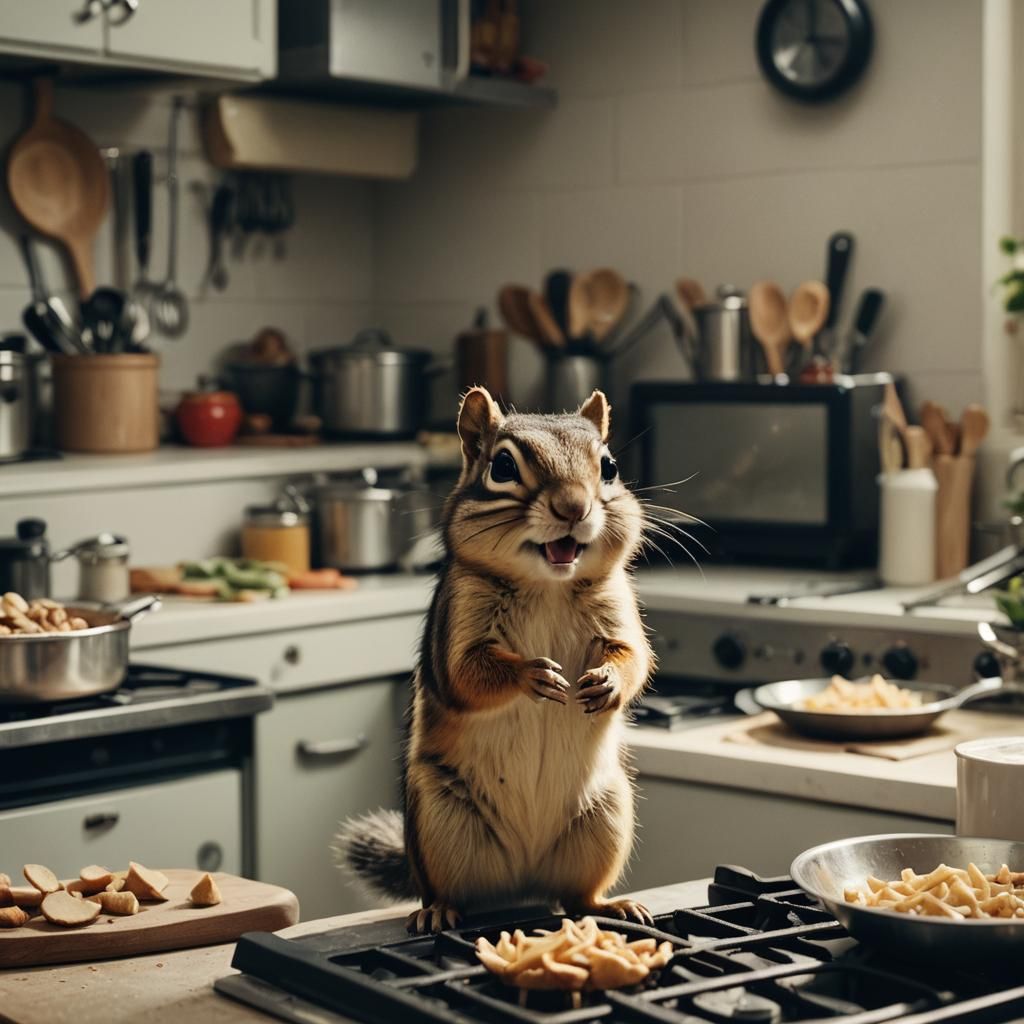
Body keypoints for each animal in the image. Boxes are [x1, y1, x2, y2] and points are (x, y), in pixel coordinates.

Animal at [338, 386, 654, 933]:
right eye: (502, 466)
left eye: (610, 467)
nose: (574, 506)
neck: (549, 585)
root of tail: (522, 882)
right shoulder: (458, 620)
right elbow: (469, 673)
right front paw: (532, 674)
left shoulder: (619, 610)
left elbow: (634, 657)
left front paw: (608, 682)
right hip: (439, 823)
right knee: (448, 891)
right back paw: (439, 911)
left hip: (606, 816)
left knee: (577, 897)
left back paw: (611, 905)